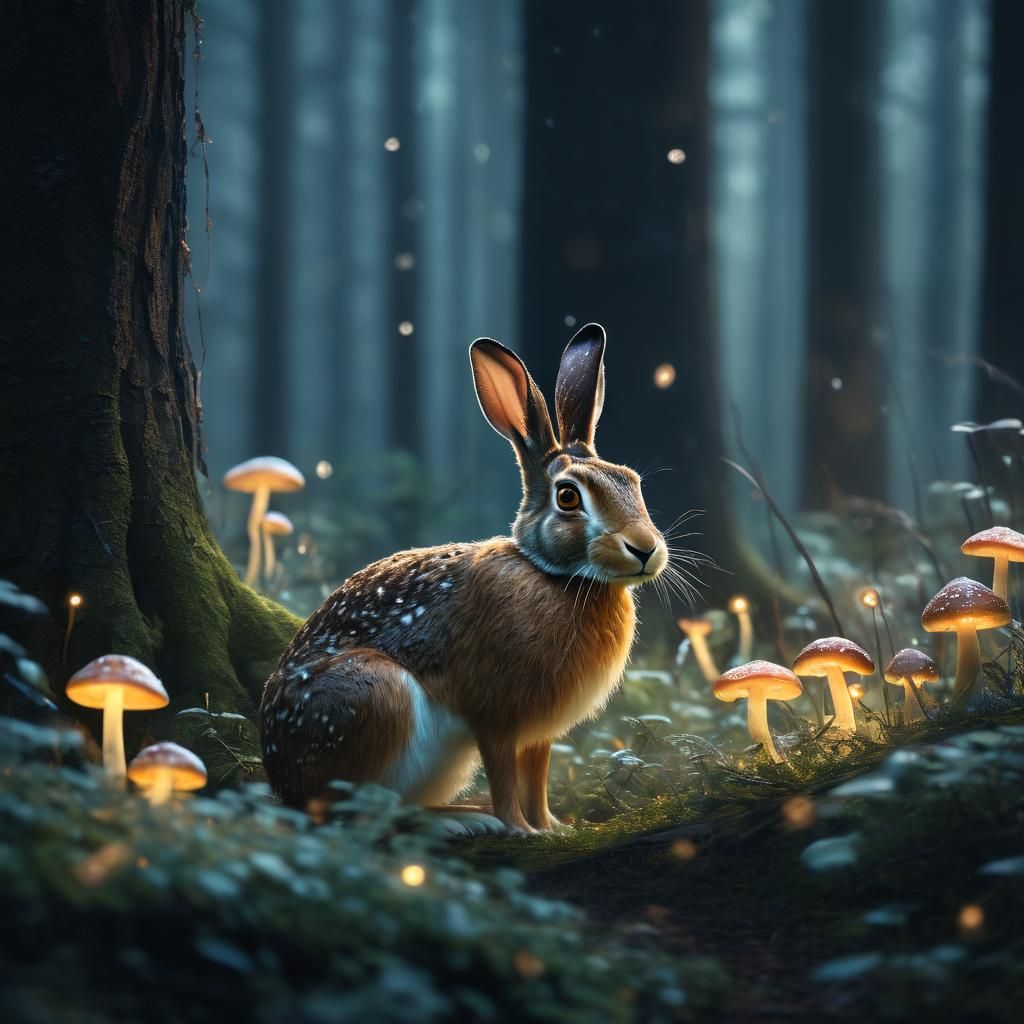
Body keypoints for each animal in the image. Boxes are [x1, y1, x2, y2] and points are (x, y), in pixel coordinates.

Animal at [260, 323, 668, 832]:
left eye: (632, 481)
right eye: (569, 497)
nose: (645, 548)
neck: (555, 575)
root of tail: (281, 778)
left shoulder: (539, 732)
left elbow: (537, 777)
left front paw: (554, 827)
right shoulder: (495, 716)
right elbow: (505, 777)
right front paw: (520, 830)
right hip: (374, 697)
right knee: (357, 812)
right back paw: (461, 821)